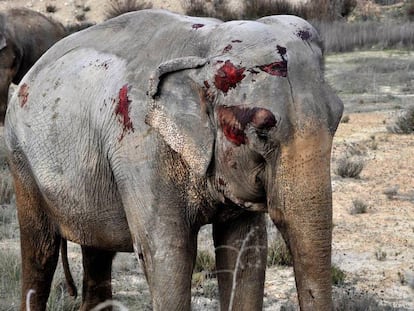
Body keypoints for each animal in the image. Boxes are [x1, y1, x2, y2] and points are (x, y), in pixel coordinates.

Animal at [4, 8, 342, 310]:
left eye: (338, 116)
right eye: (261, 131)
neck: (204, 47)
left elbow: (245, 251)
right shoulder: (141, 149)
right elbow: (168, 255)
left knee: (97, 251)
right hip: (20, 159)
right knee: (40, 251)